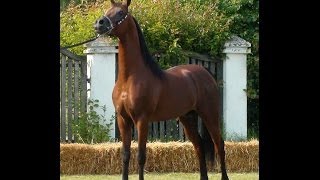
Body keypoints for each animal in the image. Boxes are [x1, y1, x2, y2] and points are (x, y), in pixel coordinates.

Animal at [94, 0, 229, 179]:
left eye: (121, 12)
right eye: (108, 9)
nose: (99, 23)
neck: (128, 79)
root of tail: (205, 72)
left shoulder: (142, 120)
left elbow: (141, 156)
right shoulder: (123, 119)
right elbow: (125, 155)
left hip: (210, 114)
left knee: (219, 144)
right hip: (188, 117)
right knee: (199, 145)